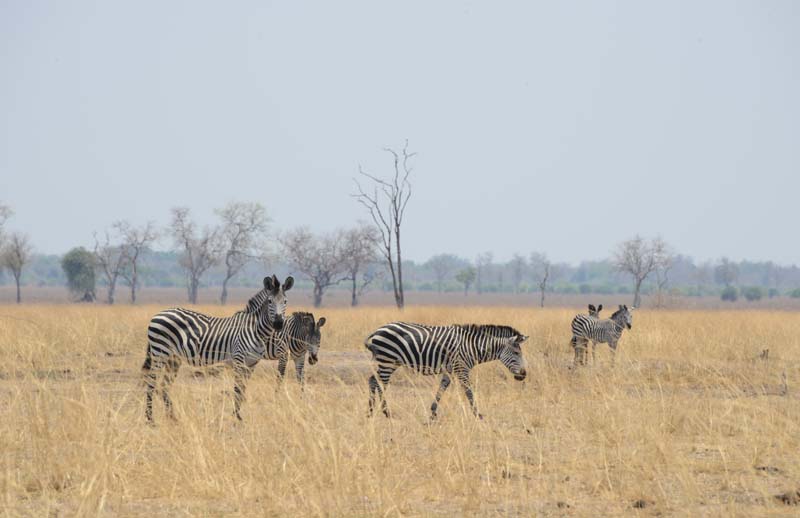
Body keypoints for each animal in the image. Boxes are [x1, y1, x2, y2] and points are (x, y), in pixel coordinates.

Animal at [143, 274, 294, 424]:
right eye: (270, 301)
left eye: (285, 301)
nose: (278, 324)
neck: (255, 329)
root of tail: (158, 313)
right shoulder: (239, 358)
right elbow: (237, 389)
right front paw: (236, 418)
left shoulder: (252, 364)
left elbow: (243, 389)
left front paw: (238, 417)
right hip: (160, 351)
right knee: (151, 382)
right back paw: (150, 419)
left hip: (173, 358)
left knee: (164, 385)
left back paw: (173, 417)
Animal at [364, 322, 528, 420]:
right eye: (516, 353)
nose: (523, 375)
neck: (473, 347)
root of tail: (377, 330)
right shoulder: (462, 368)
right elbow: (469, 392)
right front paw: (478, 414)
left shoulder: (450, 369)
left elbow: (442, 387)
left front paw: (432, 412)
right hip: (387, 360)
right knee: (379, 383)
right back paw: (386, 412)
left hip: (388, 362)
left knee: (373, 380)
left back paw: (371, 411)